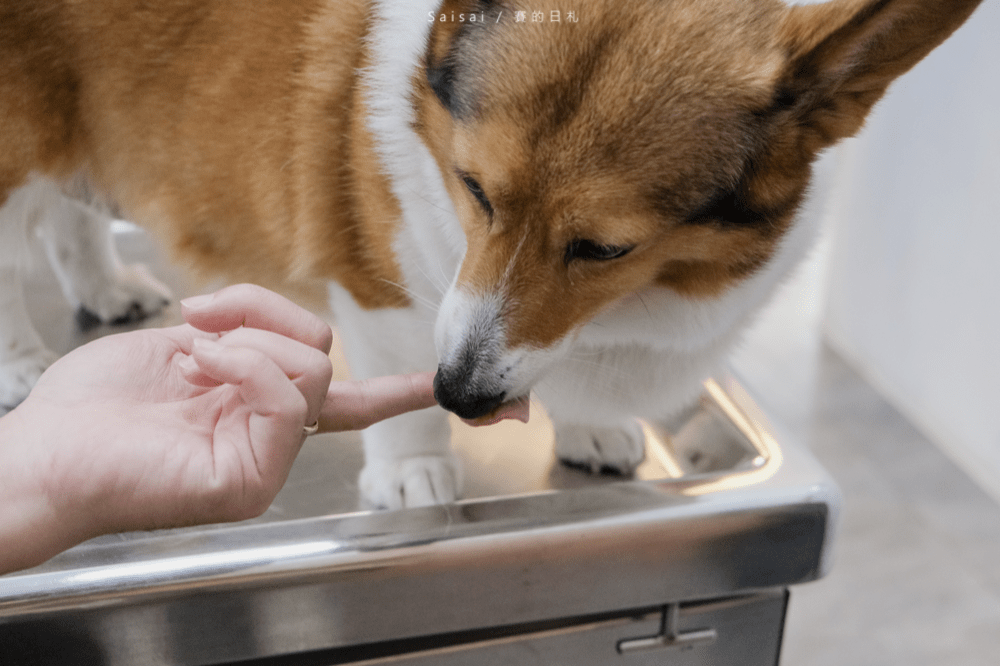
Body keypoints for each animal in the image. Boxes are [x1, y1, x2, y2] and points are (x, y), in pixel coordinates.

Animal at [0, 0, 980, 506]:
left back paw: (107, 290)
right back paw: (21, 365)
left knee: (70, 214)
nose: (461, 395)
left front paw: (585, 428)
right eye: (474, 189)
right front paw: (415, 473)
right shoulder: (380, 290)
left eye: (604, 247)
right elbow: (396, 371)